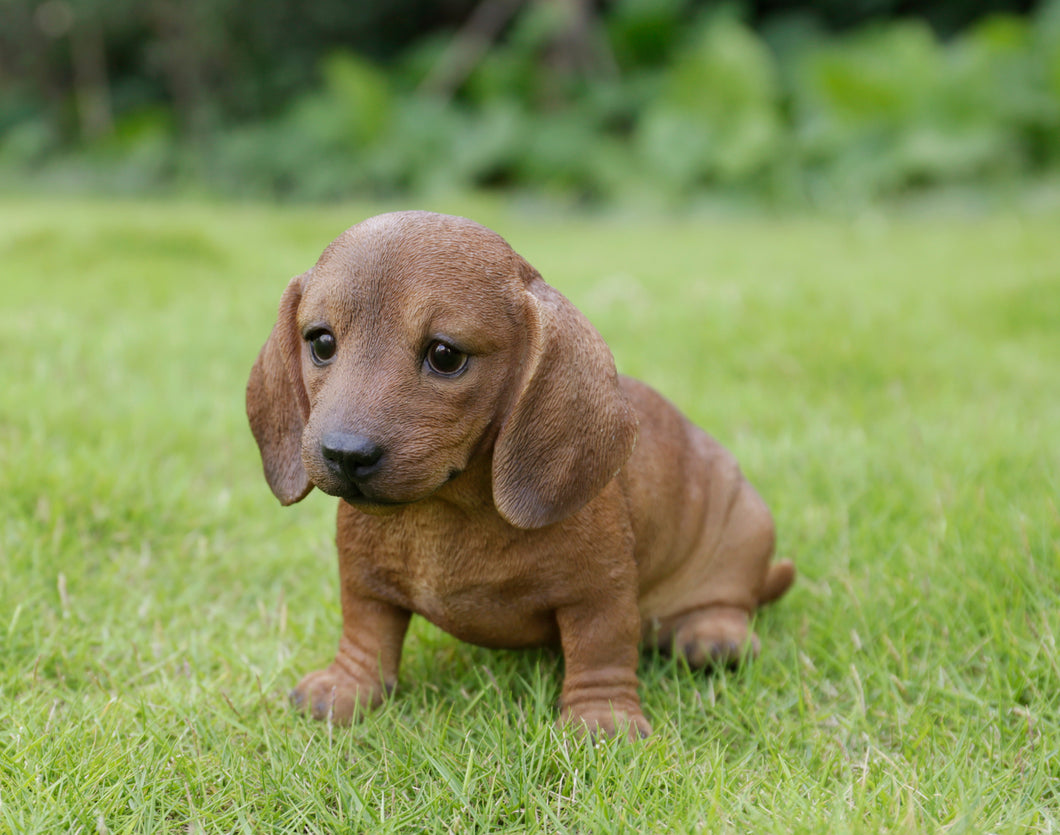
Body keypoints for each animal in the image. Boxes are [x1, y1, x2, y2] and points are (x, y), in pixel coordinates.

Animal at [248, 211, 792, 741]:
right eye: (321, 342)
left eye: (445, 355)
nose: (345, 454)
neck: (446, 511)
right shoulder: (364, 580)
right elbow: (366, 632)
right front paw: (345, 686)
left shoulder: (601, 594)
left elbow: (602, 649)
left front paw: (602, 719)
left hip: (744, 529)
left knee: (731, 598)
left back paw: (714, 636)